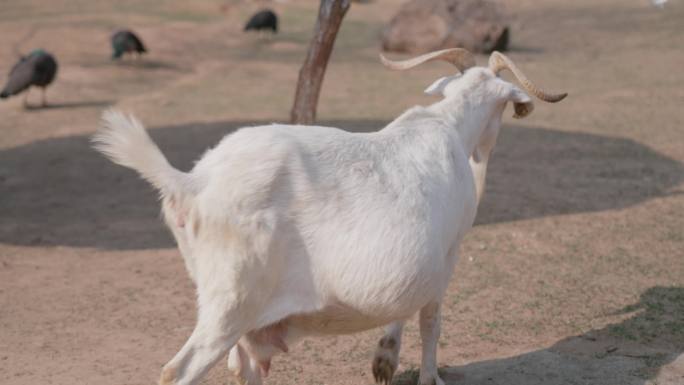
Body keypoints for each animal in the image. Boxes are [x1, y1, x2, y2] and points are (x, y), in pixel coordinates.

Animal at [95, 48, 568, 384]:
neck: (447, 125)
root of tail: (193, 182)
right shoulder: (446, 256)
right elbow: (430, 323)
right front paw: (425, 375)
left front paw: (384, 361)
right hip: (231, 301)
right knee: (177, 371)